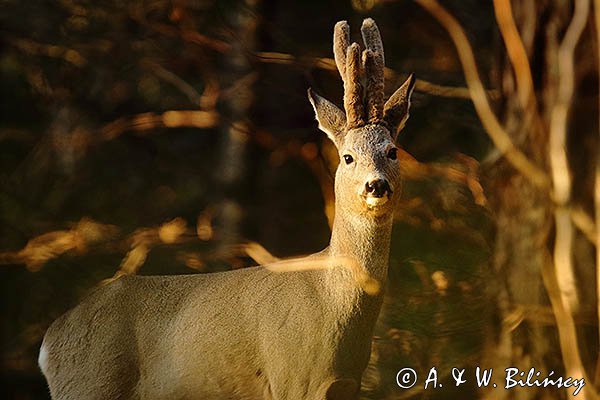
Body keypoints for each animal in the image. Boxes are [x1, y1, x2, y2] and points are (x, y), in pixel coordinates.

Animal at [37, 19, 412, 400]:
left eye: (392, 151)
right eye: (347, 157)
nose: (376, 185)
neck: (332, 300)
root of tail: (50, 342)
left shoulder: (346, 386)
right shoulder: (291, 380)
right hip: (91, 384)